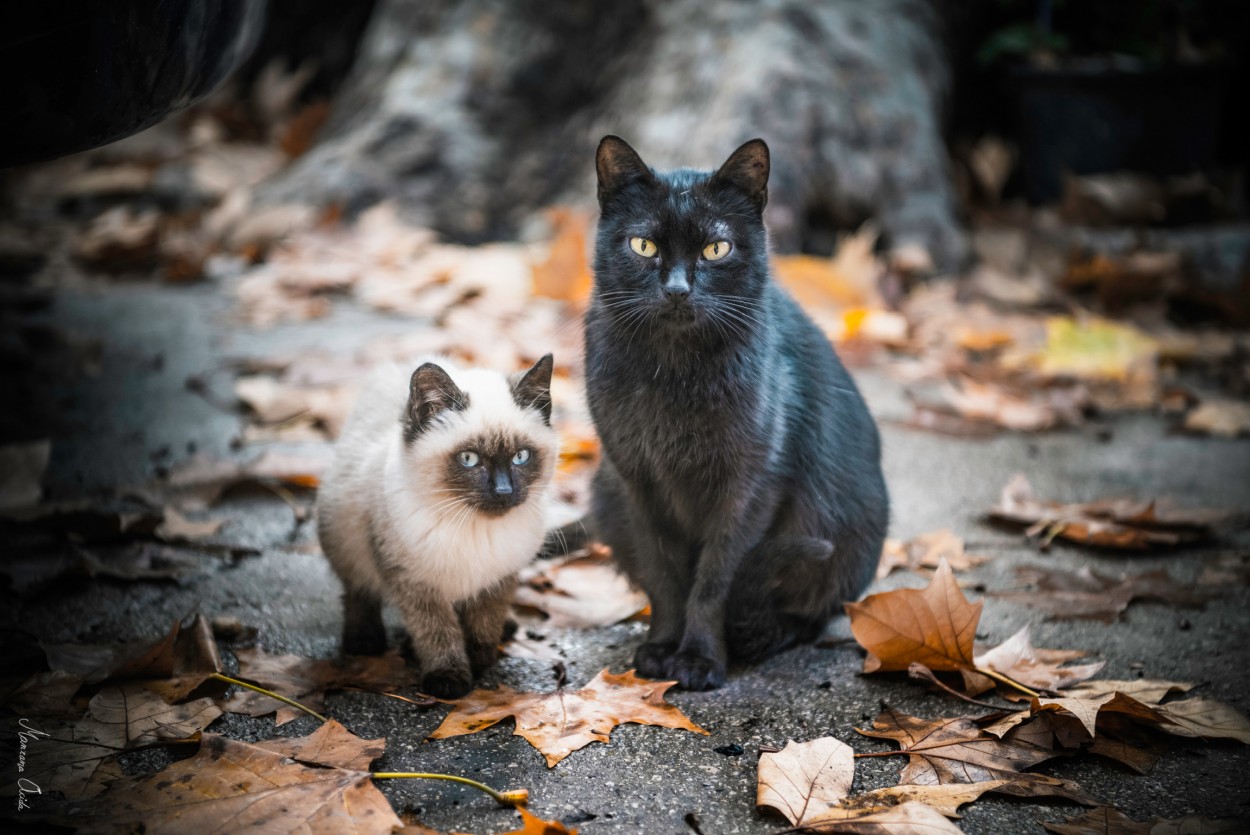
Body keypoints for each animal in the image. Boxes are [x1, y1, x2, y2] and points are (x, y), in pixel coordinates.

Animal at [317, 355, 557, 700]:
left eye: (521, 457)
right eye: (469, 459)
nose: (503, 491)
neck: (474, 528)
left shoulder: (498, 581)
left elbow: (483, 628)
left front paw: (479, 663)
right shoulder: (416, 585)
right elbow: (438, 632)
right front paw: (449, 680)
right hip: (345, 536)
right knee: (357, 590)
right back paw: (364, 641)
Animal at [582, 133, 890, 690]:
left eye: (716, 248)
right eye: (643, 246)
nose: (678, 289)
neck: (674, 374)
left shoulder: (748, 488)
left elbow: (714, 581)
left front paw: (699, 658)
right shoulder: (637, 484)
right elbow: (664, 576)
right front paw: (662, 648)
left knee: (809, 614)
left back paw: (764, 635)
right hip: (603, 495)